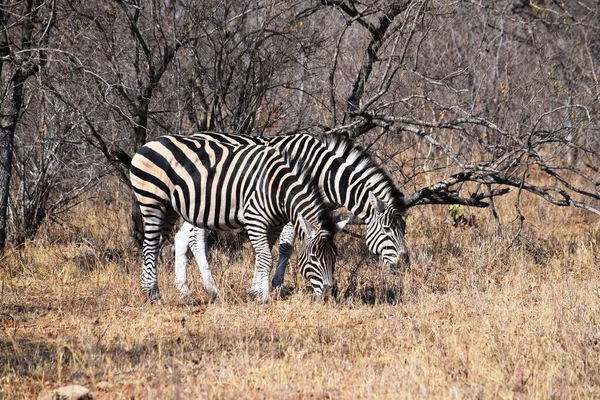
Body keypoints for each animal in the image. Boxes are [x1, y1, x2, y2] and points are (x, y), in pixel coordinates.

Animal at [131, 135, 346, 304]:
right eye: (314, 258)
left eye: (334, 257)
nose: (328, 293)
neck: (278, 188)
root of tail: (149, 143)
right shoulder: (254, 218)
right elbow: (266, 257)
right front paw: (264, 297)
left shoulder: (274, 222)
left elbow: (264, 255)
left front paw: (257, 292)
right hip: (152, 202)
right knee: (150, 245)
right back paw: (152, 294)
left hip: (170, 209)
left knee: (158, 243)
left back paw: (167, 290)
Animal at [173, 132, 408, 300]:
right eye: (387, 230)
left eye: (403, 230)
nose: (404, 263)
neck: (322, 173)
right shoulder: (287, 209)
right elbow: (284, 247)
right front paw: (274, 286)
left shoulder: (317, 212)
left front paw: (257, 288)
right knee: (195, 238)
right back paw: (211, 288)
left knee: (181, 237)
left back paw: (185, 291)